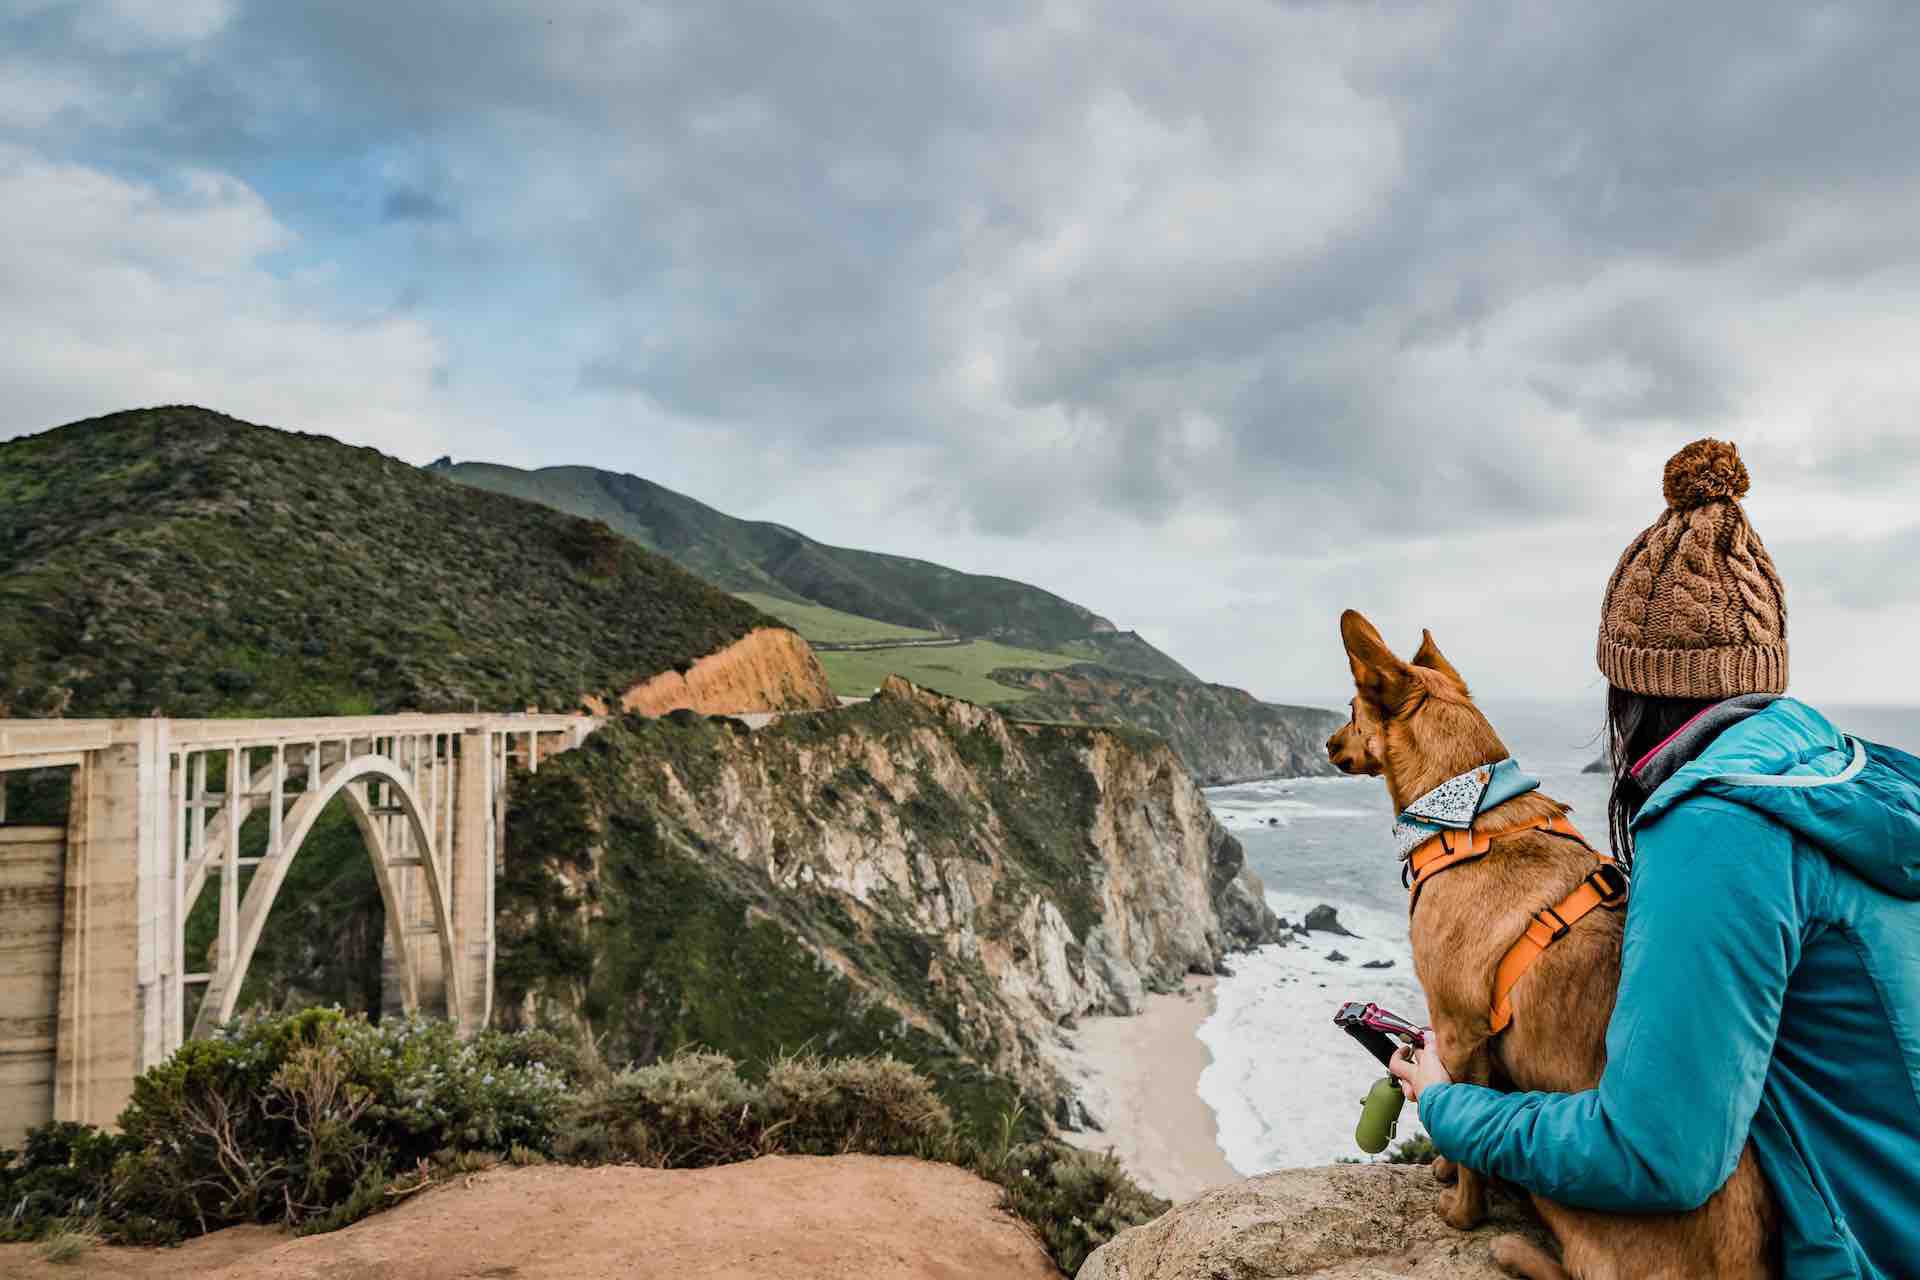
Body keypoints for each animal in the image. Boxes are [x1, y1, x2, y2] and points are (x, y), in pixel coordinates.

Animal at [1328, 610, 1774, 1280]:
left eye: (1354, 710)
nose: (1327, 744)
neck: (1467, 814)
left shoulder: (1457, 1031)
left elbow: (1458, 1125)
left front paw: (1460, 1208)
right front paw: (1443, 1168)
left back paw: (1516, 1249)